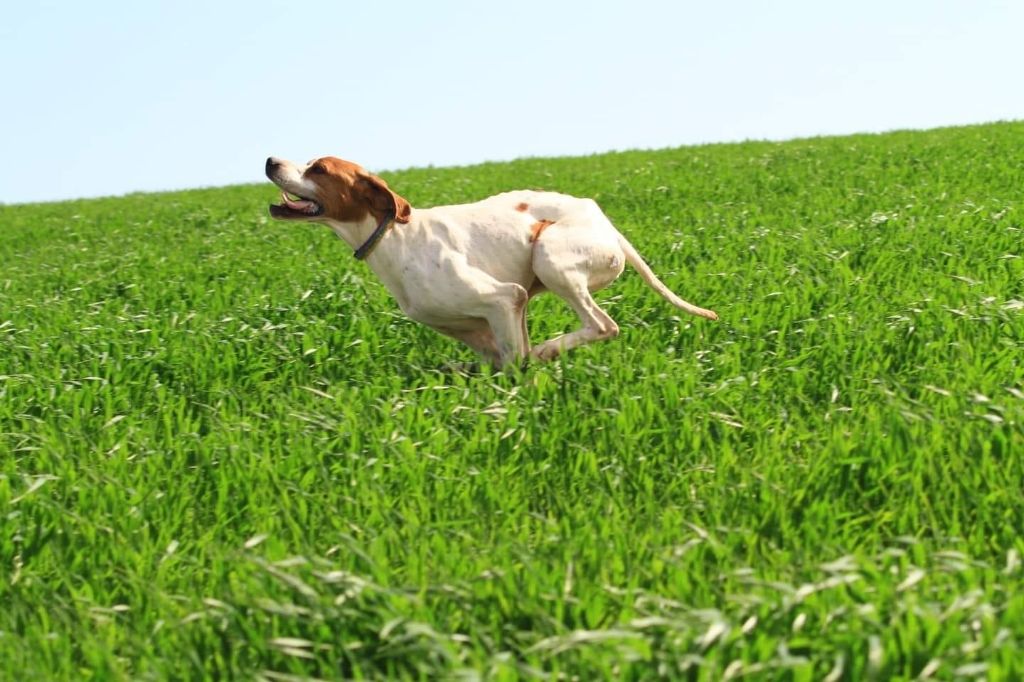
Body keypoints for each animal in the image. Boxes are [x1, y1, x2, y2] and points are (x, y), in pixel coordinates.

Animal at [264, 155, 716, 366]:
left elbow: (518, 363)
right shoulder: (486, 326)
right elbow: (494, 360)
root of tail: (604, 221)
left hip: (549, 255)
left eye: (319, 169)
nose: (271, 160)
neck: (395, 237)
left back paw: (550, 350)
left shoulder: (505, 298)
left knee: (603, 325)